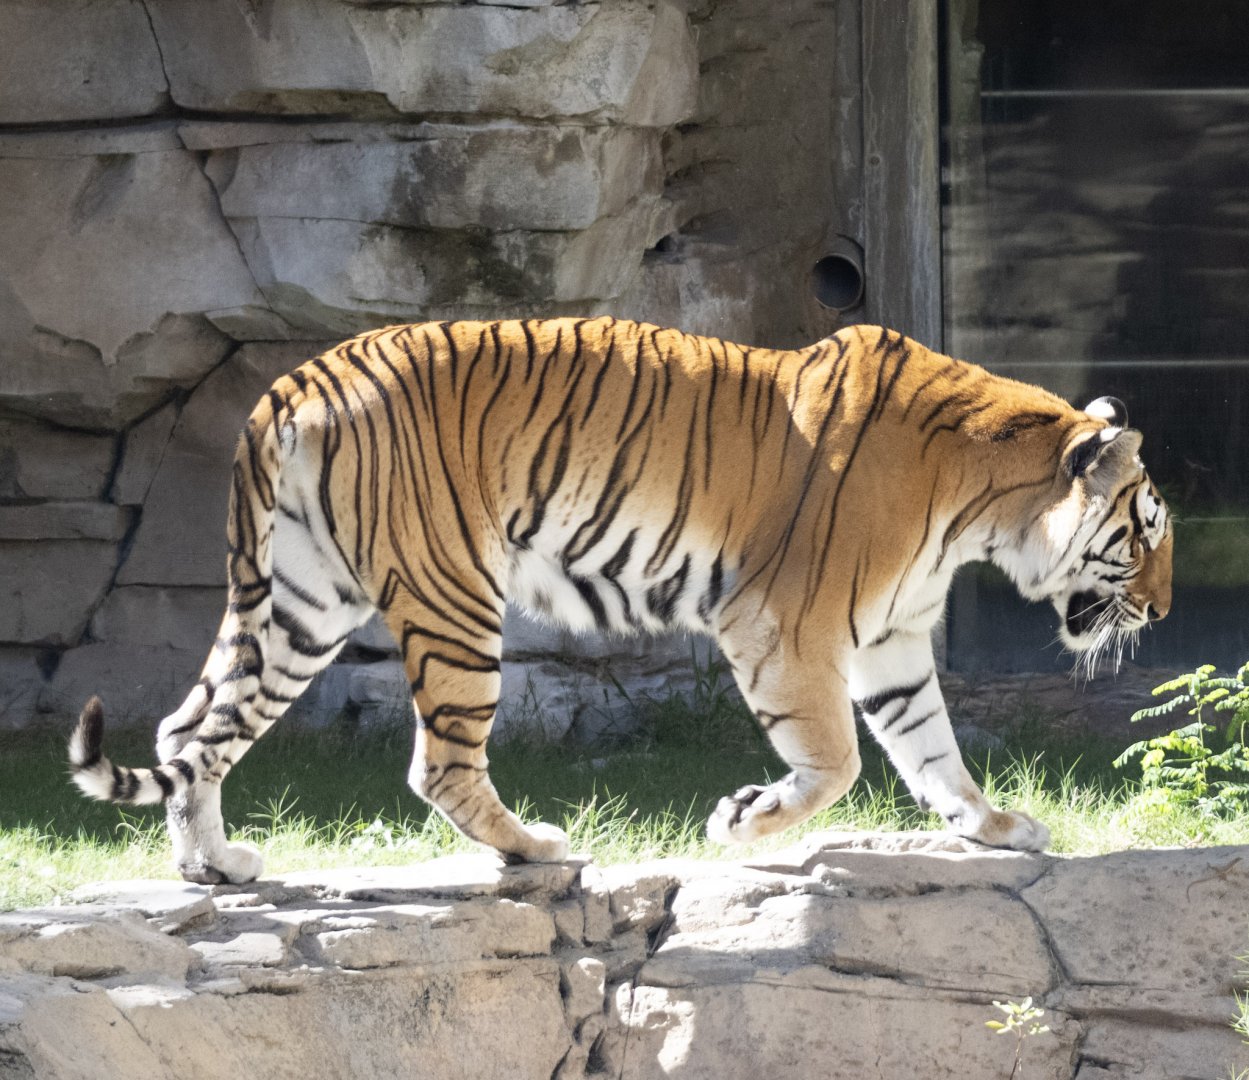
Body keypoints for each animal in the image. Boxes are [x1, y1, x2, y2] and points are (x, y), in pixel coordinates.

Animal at [70, 318, 1173, 884]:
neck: (985, 501)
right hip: (455, 598)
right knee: (438, 764)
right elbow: (839, 763)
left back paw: (215, 869)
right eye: (1149, 532)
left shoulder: (893, 639)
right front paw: (742, 821)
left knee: (190, 731)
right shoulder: (780, 624)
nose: (1163, 613)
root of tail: (291, 383)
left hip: (302, 602)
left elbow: (930, 749)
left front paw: (994, 828)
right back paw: (537, 848)